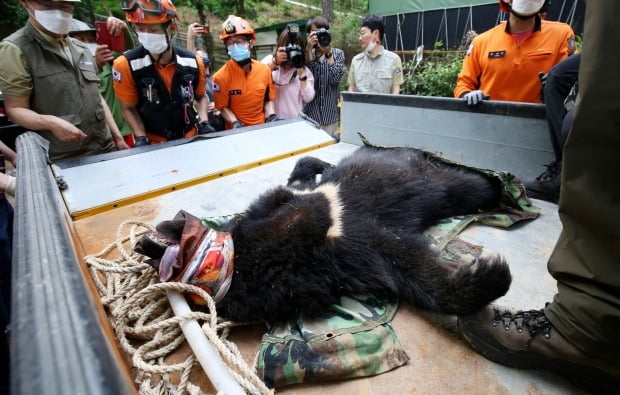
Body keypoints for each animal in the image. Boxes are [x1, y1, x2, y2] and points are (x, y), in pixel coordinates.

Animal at [138, 147, 512, 324]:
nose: (143, 241)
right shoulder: (334, 261)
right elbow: (397, 257)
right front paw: (491, 274)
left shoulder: (281, 210)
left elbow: (288, 188)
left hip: (429, 174)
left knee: (470, 185)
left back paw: (503, 187)